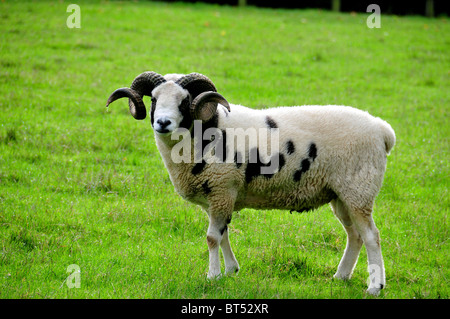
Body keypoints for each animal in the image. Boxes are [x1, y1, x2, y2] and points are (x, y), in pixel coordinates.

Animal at [105, 71, 394, 296]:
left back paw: (374, 287)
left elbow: (212, 238)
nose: (162, 123)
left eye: (184, 101)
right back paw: (341, 276)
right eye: (154, 99)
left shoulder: (221, 189)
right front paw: (231, 270)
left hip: (359, 189)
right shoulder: (219, 196)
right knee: (355, 235)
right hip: (340, 194)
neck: (204, 132)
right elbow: (223, 235)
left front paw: (212, 276)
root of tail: (382, 130)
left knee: (372, 236)